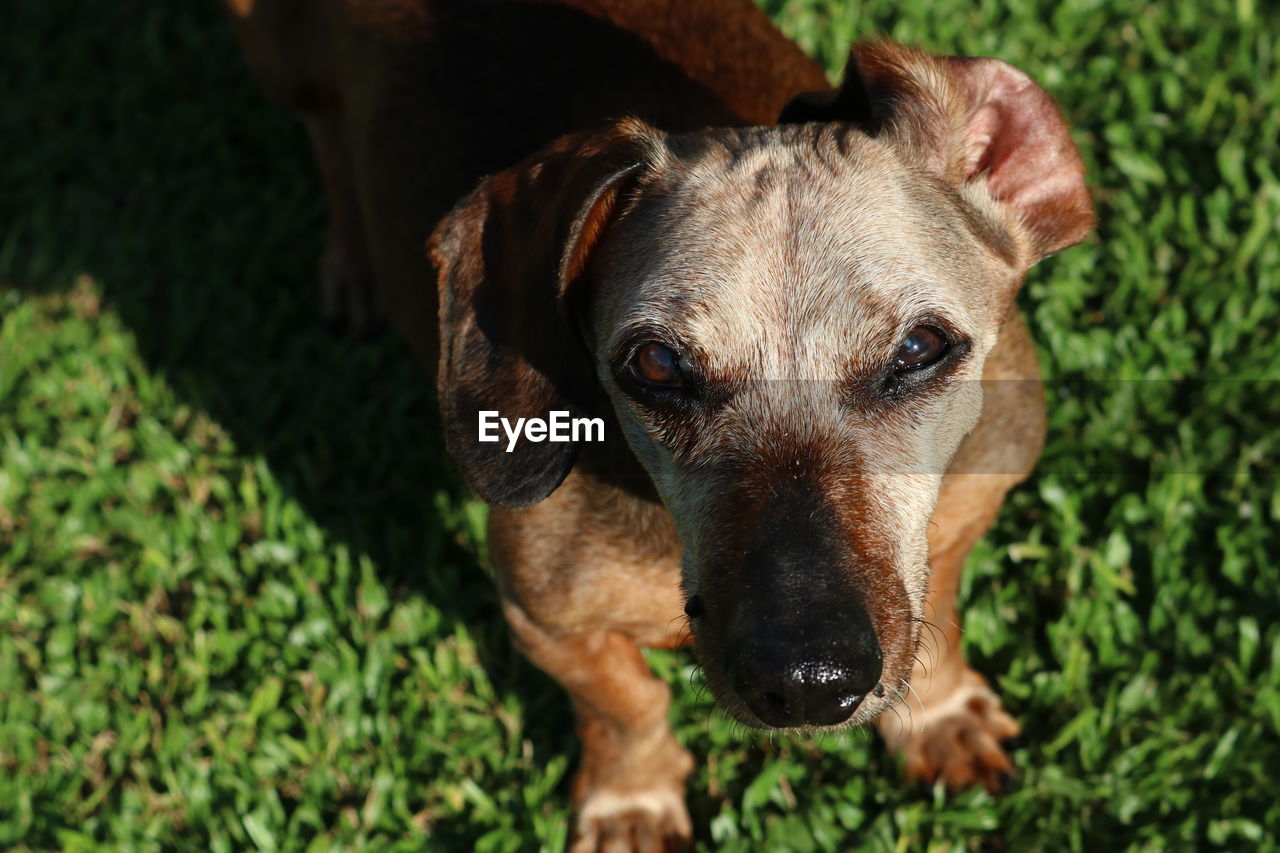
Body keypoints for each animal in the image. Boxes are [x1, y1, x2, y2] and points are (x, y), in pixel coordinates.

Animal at [222, 3, 1090, 845]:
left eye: (920, 347)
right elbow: (628, 707)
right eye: (656, 364)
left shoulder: (969, 513)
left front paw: (940, 717)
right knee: (326, 138)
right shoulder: (545, 618)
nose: (808, 680)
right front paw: (630, 802)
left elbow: (940, 607)